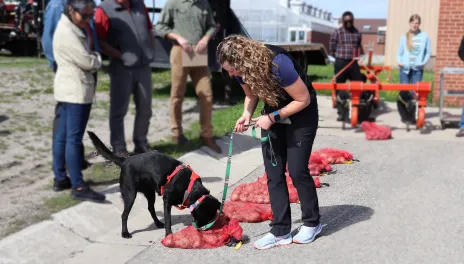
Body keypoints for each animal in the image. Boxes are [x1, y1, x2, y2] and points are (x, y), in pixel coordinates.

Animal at [87, 131, 221, 238]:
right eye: (205, 216)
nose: (202, 229)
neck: (189, 187)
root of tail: (125, 160)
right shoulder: (167, 201)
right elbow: (168, 220)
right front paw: (168, 235)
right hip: (130, 194)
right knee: (124, 215)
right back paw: (125, 233)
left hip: (150, 193)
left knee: (150, 209)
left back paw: (157, 223)